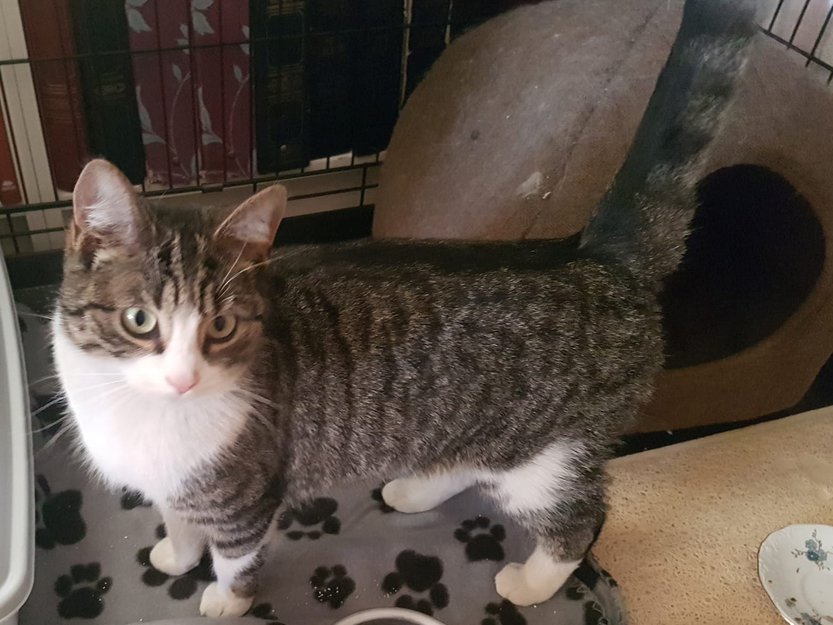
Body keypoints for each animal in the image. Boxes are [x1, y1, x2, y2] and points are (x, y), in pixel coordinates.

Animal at [52, 0, 757, 617]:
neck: (143, 419)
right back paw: (417, 487)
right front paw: (176, 554)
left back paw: (532, 580)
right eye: (140, 320)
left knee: (582, 517)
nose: (182, 378)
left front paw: (226, 600)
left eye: (221, 326)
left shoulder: (243, 497)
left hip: (546, 452)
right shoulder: (176, 485)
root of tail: (595, 255)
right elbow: (178, 519)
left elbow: (234, 554)